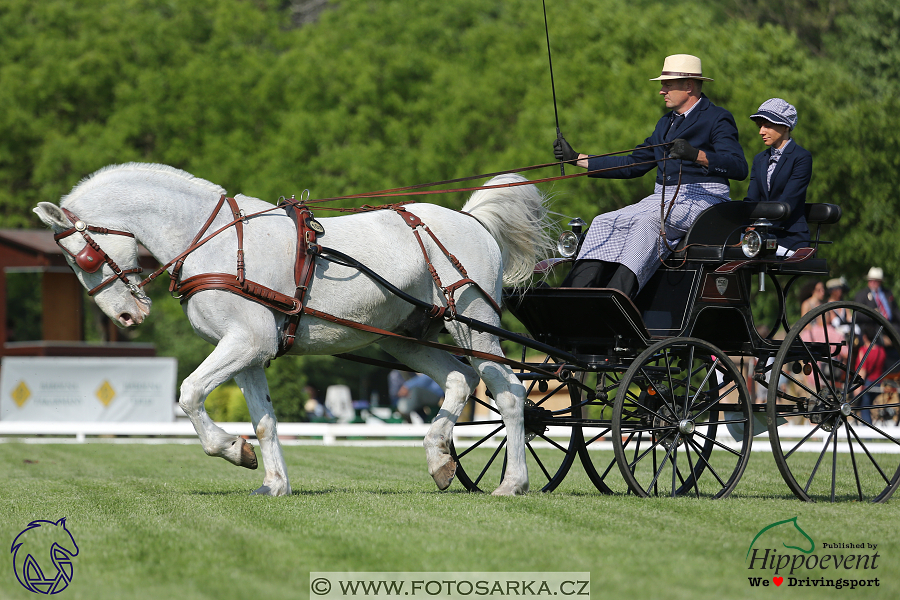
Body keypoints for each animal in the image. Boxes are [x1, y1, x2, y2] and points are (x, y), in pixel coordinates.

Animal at [35, 163, 552, 496]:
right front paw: (273, 483)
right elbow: (264, 419)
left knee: (507, 391)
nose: (125, 317)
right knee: (458, 379)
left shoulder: (246, 342)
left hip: (475, 325)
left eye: (83, 257)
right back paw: (439, 458)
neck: (215, 243)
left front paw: (231, 449)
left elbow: (188, 393)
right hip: (404, 338)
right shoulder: (249, 351)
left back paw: (513, 483)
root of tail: (471, 219)